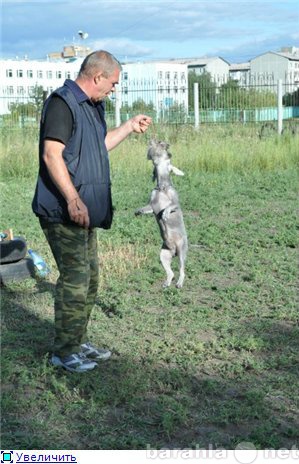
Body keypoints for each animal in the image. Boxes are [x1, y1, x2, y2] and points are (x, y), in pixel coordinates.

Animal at [137, 140, 189, 288]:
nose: (164, 143)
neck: (162, 187)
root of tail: (174, 251)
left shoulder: (175, 203)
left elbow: (170, 206)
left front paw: (165, 214)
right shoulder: (151, 205)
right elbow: (146, 208)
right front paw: (138, 211)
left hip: (182, 250)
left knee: (182, 270)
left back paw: (179, 283)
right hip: (163, 255)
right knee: (170, 272)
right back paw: (167, 283)